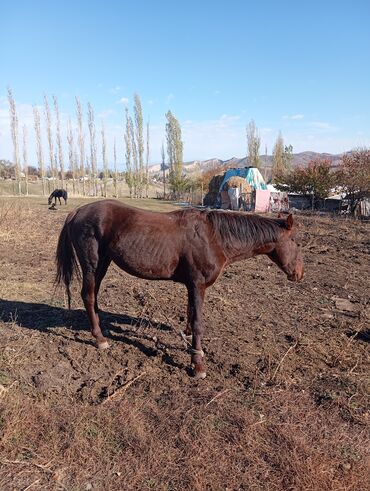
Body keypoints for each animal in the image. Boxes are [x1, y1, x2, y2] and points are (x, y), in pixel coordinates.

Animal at [55, 200, 304, 380]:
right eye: (296, 242)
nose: (299, 274)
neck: (214, 237)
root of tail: (77, 211)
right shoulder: (198, 285)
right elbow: (198, 323)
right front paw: (198, 364)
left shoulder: (192, 286)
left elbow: (191, 314)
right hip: (92, 265)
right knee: (88, 296)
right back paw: (99, 339)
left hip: (102, 264)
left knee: (93, 296)